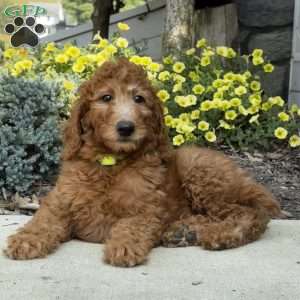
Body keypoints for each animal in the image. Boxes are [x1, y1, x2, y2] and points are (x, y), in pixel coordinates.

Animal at [4, 57, 282, 266]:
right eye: (106, 98)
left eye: (139, 99)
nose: (126, 128)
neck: (111, 162)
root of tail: (250, 184)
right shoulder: (60, 201)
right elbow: (42, 220)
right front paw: (25, 240)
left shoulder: (145, 208)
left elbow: (132, 225)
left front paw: (124, 247)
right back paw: (183, 231)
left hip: (199, 169)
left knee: (251, 215)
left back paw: (220, 235)